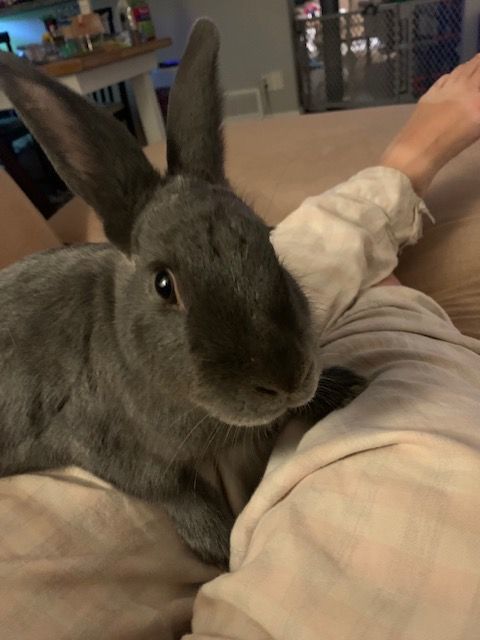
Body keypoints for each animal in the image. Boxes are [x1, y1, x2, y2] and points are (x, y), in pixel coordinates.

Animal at [0, 19, 364, 568]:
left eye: (268, 242)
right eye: (163, 284)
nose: (285, 379)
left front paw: (346, 385)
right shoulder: (92, 440)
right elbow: (171, 488)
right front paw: (220, 542)